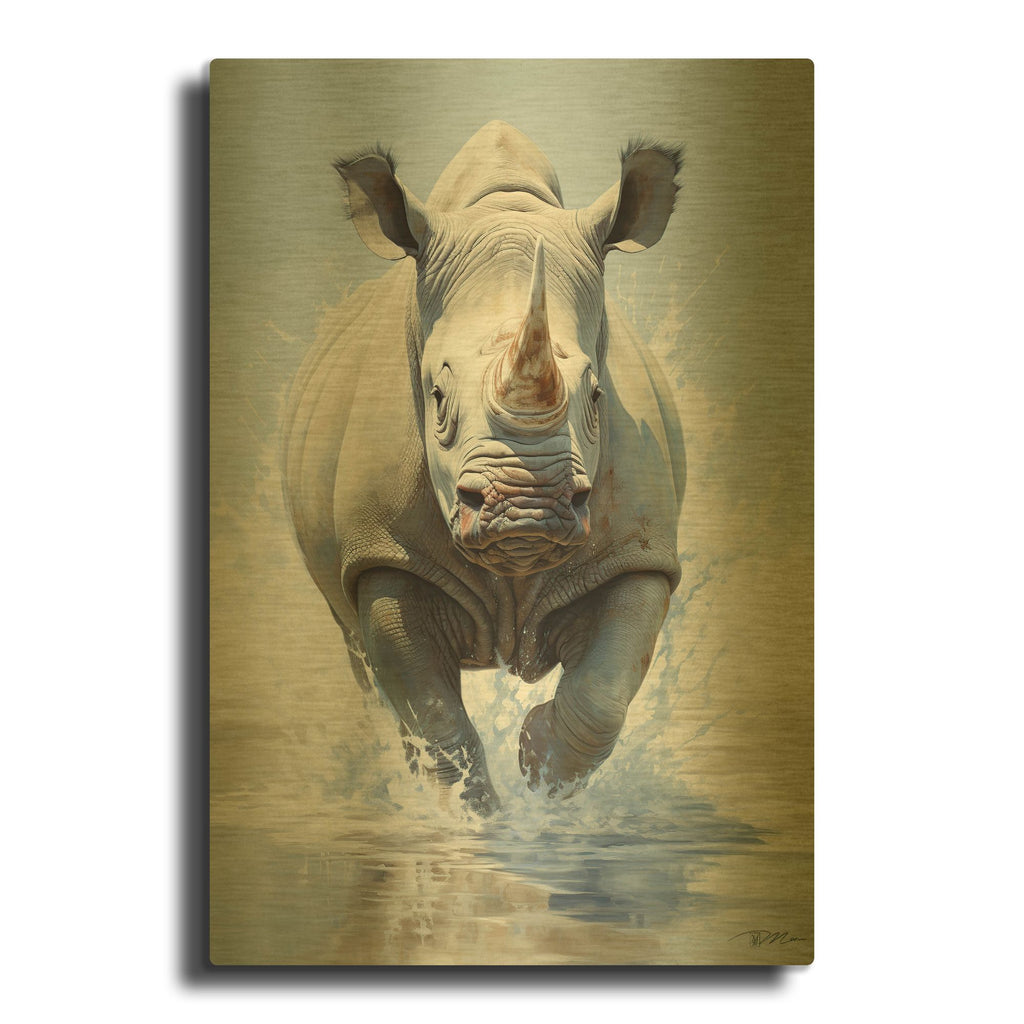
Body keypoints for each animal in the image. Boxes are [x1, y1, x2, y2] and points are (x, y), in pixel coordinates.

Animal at [283, 121, 685, 816]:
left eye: (597, 398)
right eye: (437, 399)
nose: (525, 509)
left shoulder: (638, 551)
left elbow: (604, 693)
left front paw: (542, 778)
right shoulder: (383, 551)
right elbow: (433, 714)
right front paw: (473, 824)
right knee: (362, 658)